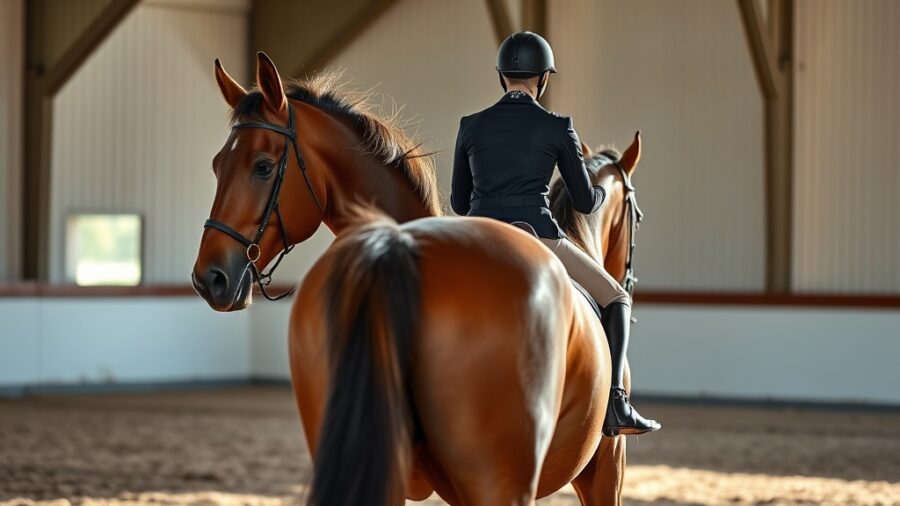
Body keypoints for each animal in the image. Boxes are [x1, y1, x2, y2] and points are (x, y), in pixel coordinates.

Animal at [193, 52, 642, 506]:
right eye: (217, 166)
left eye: (263, 167)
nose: (209, 278)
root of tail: (394, 248)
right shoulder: (606, 467)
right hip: (502, 479)